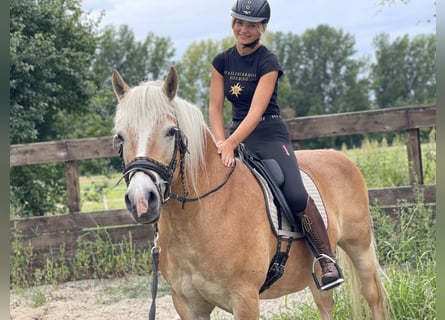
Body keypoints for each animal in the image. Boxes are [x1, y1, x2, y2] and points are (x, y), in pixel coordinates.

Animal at [112, 66, 388, 318]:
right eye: (120, 137)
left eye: (170, 132)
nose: (141, 200)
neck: (201, 216)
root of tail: (340, 157)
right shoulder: (187, 304)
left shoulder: (244, 299)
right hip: (317, 274)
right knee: (325, 304)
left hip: (359, 249)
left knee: (373, 296)